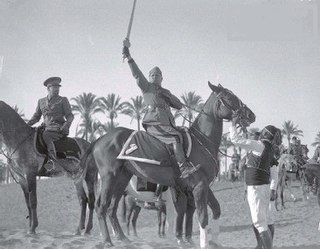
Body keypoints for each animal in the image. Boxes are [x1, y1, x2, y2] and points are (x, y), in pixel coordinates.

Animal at [0, 100, 97, 234]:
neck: (19, 139)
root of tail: (90, 145)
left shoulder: (30, 174)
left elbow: (33, 201)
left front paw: (33, 228)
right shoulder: (21, 178)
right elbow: (27, 202)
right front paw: (29, 228)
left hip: (89, 176)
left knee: (91, 200)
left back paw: (87, 229)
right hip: (77, 178)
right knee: (83, 199)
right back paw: (79, 230)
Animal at [82, 82, 255, 248]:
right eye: (229, 97)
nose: (250, 115)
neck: (201, 142)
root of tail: (100, 138)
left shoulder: (198, 186)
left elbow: (214, 209)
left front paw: (212, 242)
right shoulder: (199, 186)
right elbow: (202, 217)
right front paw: (202, 243)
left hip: (122, 179)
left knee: (111, 208)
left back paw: (123, 239)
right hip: (109, 177)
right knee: (101, 206)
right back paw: (107, 240)